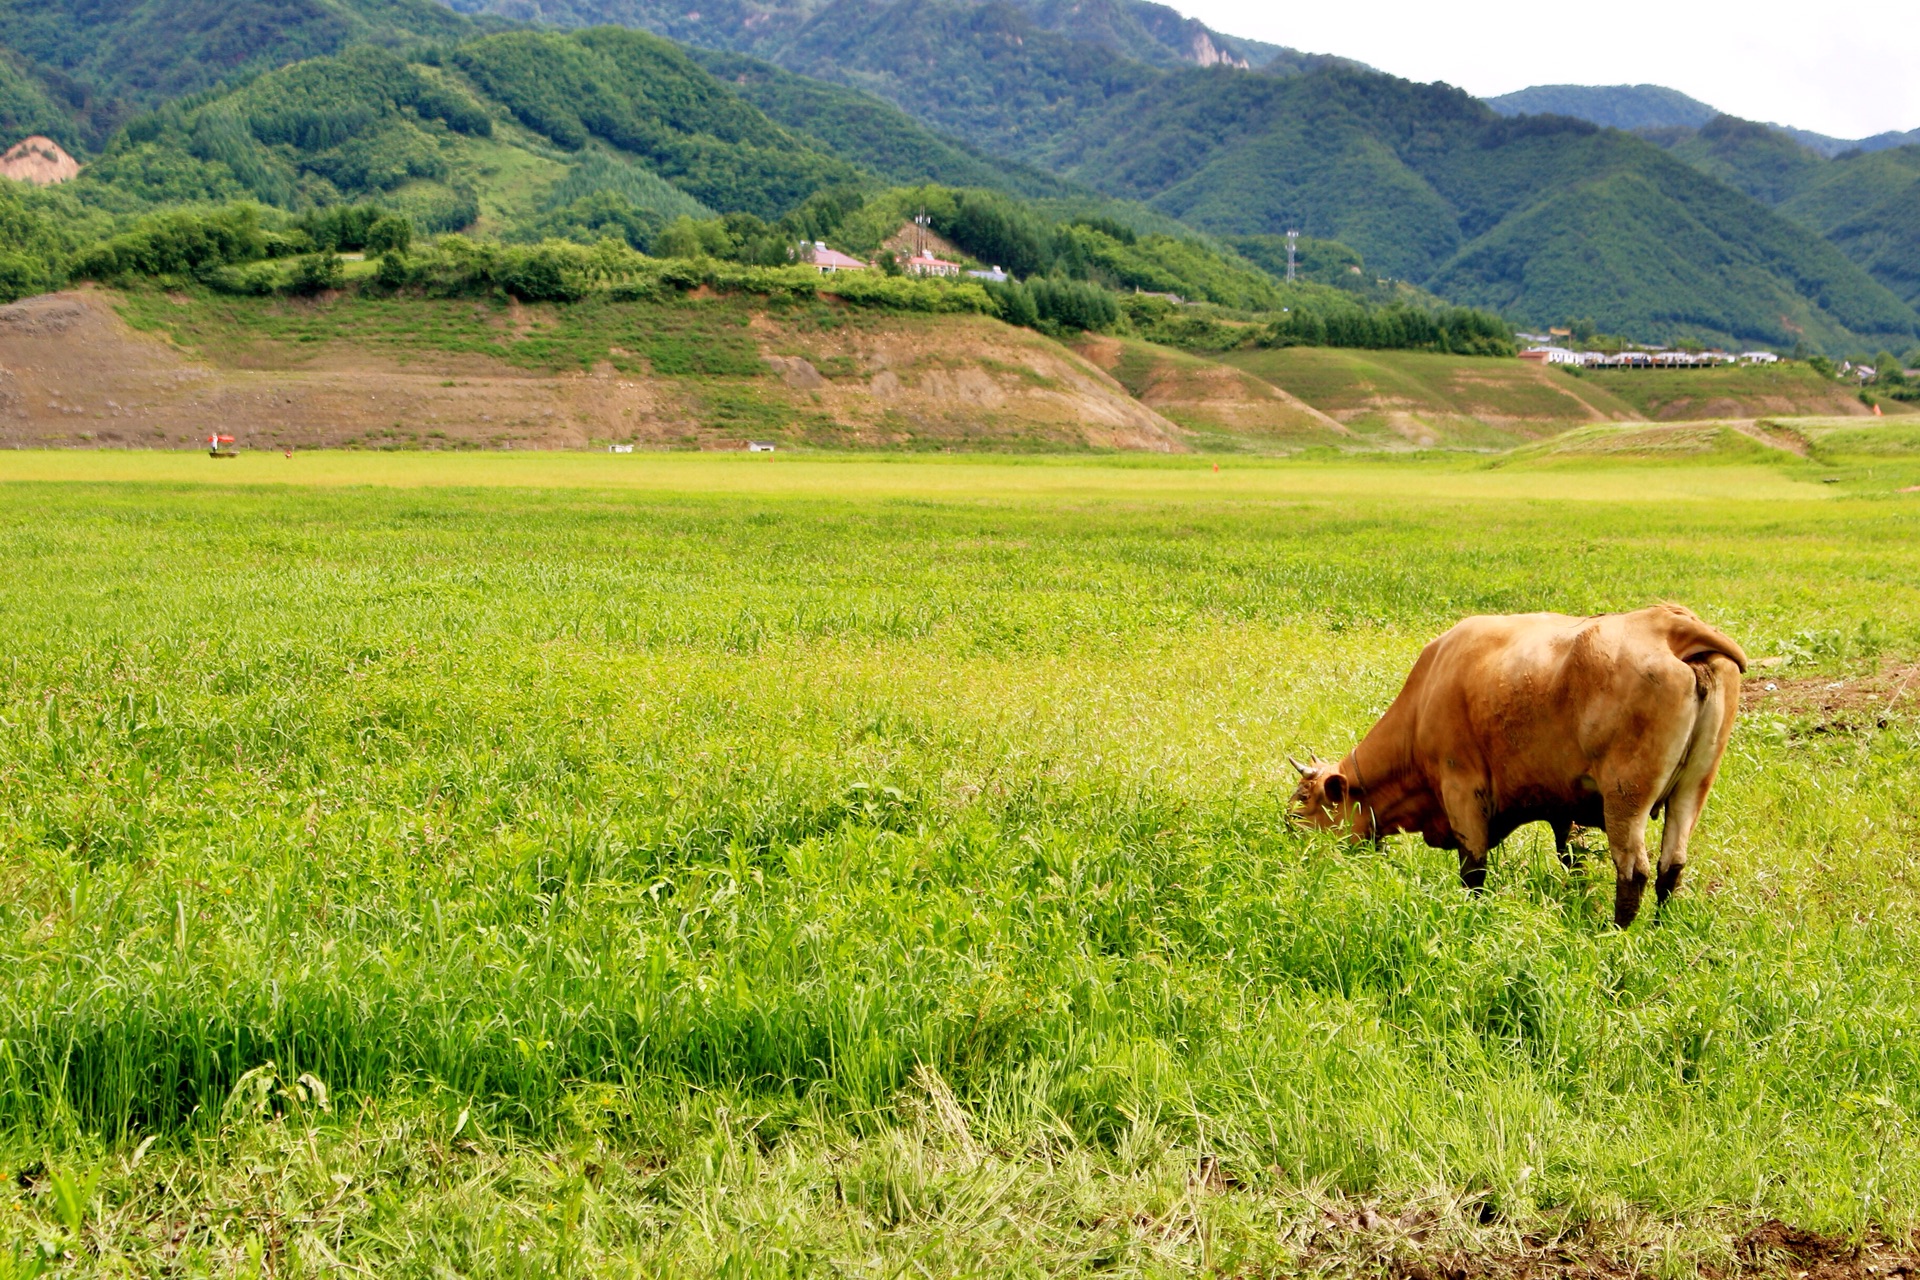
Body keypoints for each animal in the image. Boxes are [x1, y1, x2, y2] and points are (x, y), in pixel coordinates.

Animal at [1297, 606, 1751, 924]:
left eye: (1305, 803)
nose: (1288, 841)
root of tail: (1668, 624)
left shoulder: (1462, 790)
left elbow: (1473, 871)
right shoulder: (1564, 807)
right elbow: (1573, 859)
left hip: (1626, 796)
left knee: (1633, 871)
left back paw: (1617, 935)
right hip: (1692, 789)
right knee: (1670, 867)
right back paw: (1659, 930)